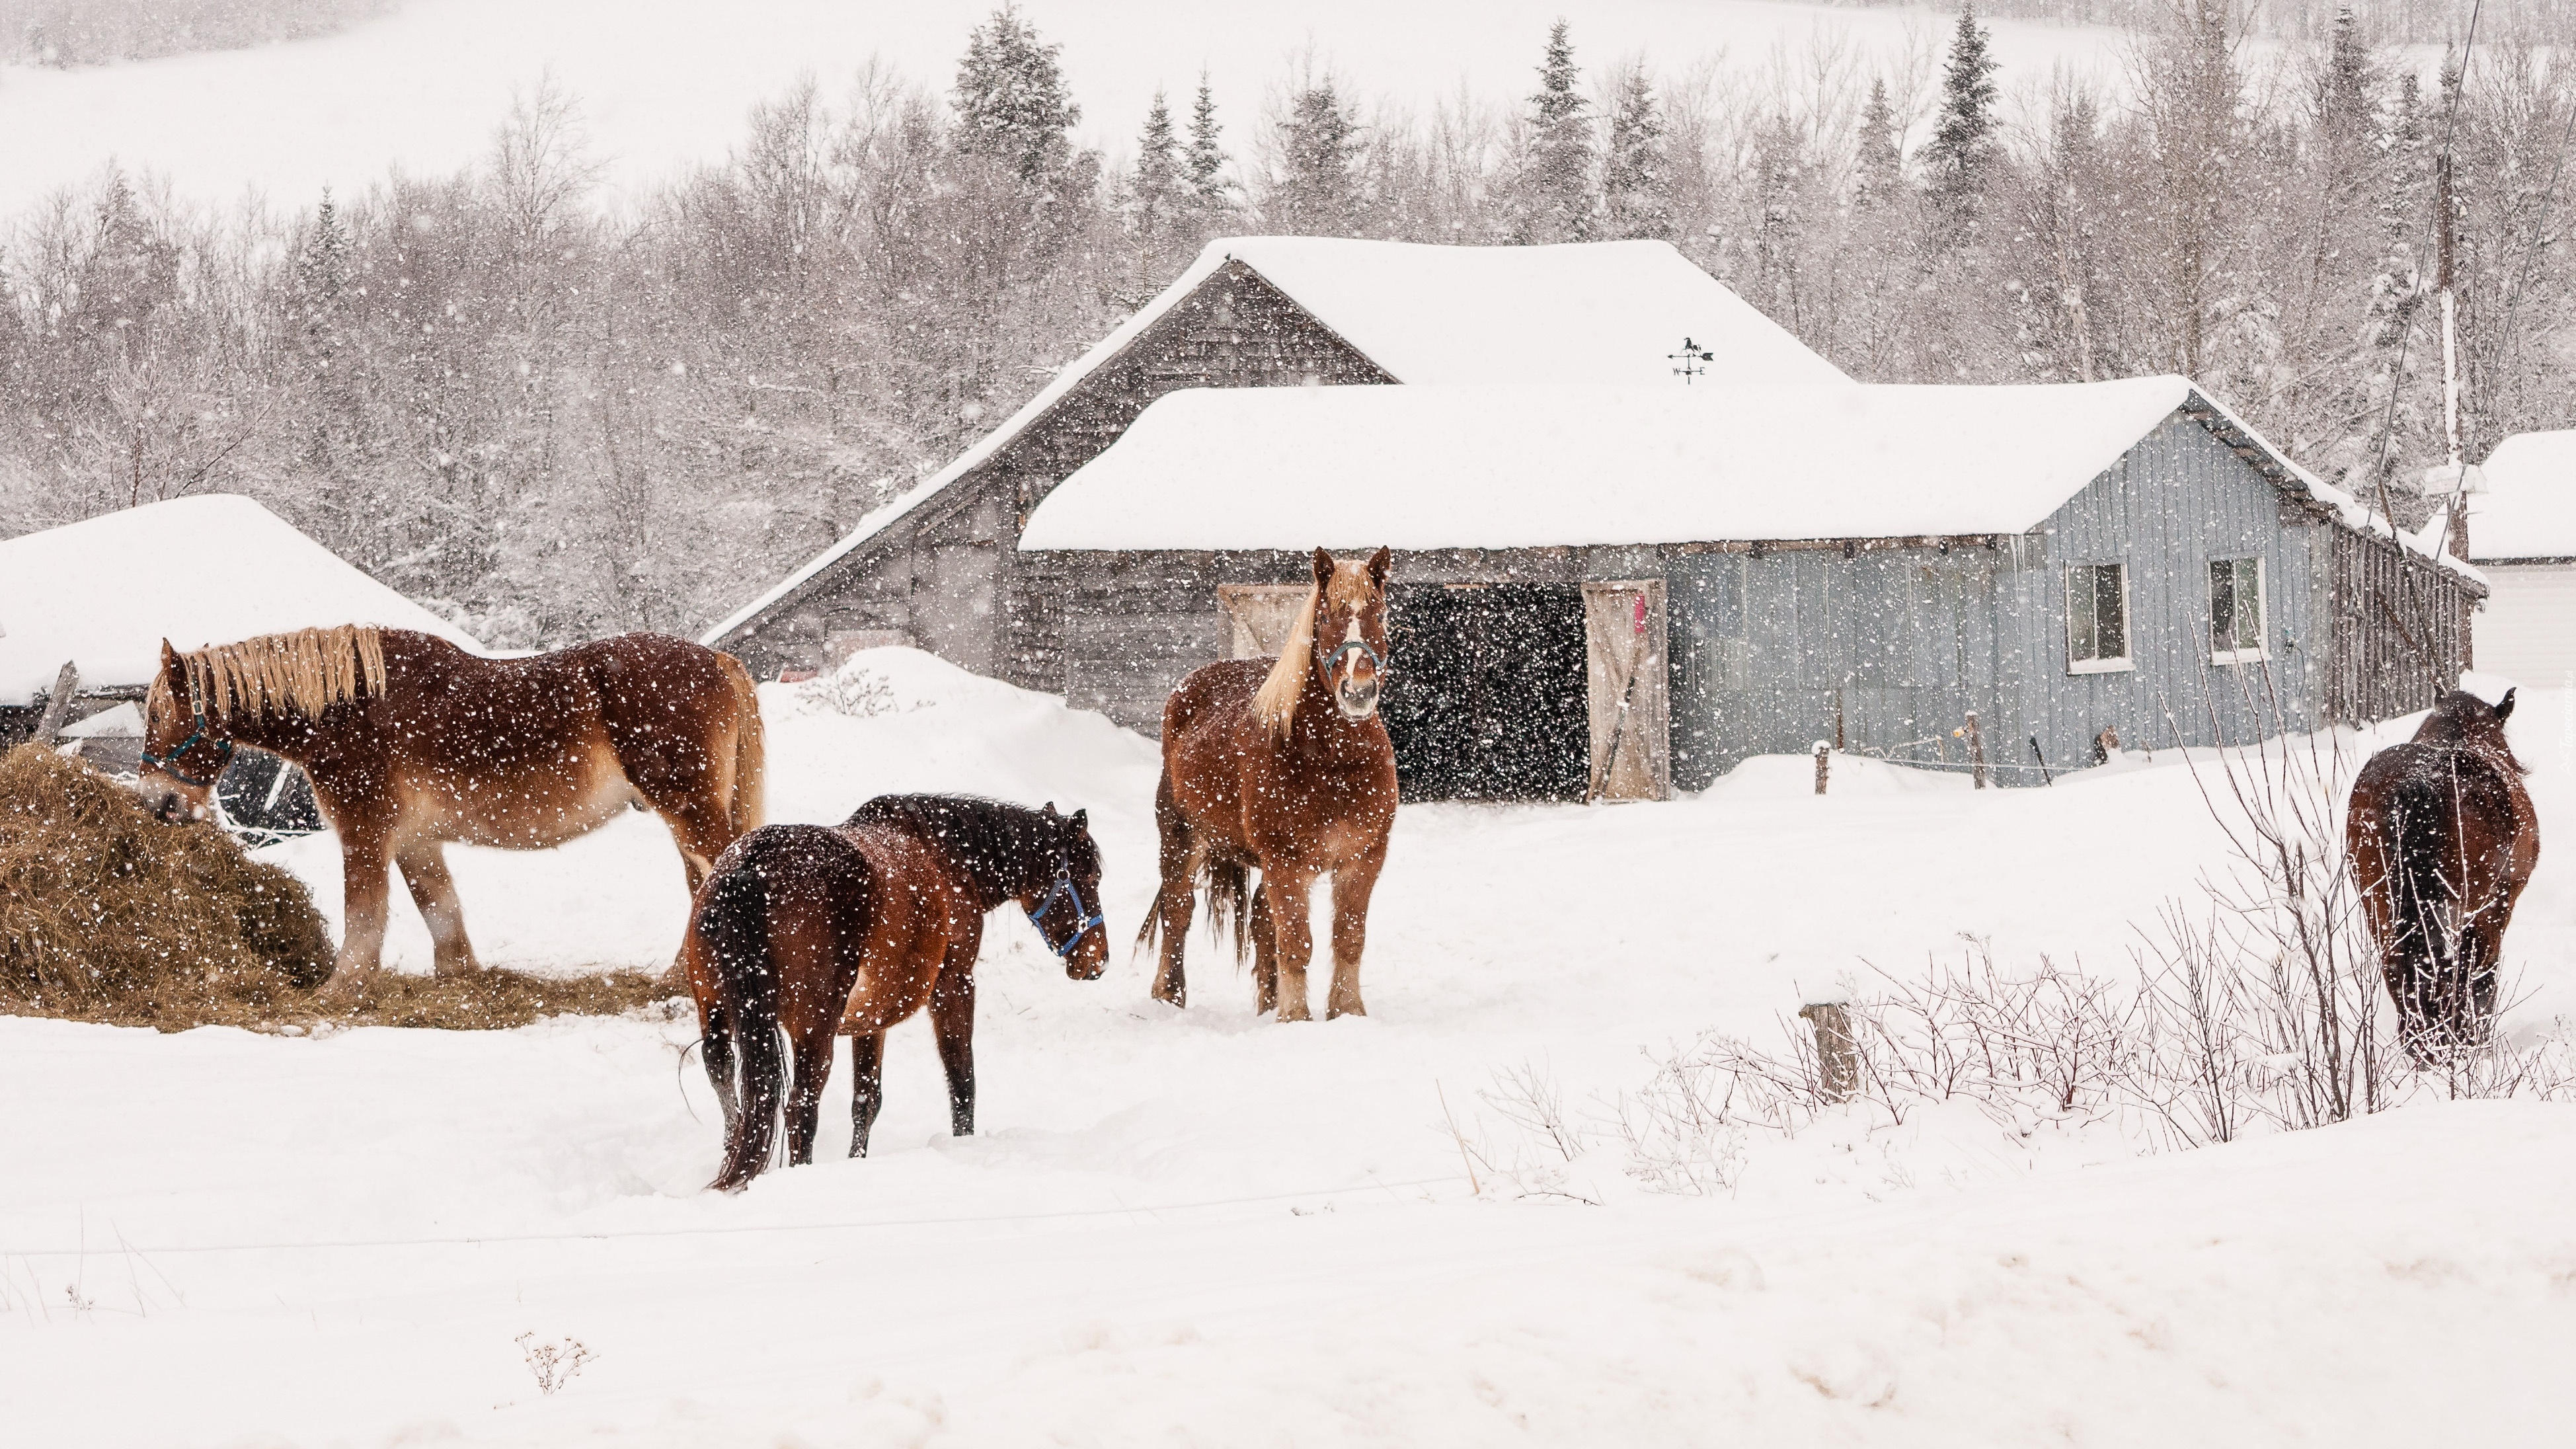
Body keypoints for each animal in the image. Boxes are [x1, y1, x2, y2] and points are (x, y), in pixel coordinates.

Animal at [142, 621, 762, 990]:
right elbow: (440, 910)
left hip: (690, 810)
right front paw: (460, 978)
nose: (158, 805)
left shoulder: (365, 832)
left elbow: (364, 914)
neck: (347, 708)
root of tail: (717, 660)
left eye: (155, 714)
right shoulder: (416, 839)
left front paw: (341, 989)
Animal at [695, 789, 1107, 1186]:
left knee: (723, 1075)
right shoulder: (955, 986)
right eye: (1089, 878)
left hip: (715, 1010)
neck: (947, 860)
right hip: (814, 1028)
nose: (1098, 960)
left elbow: (866, 1101)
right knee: (801, 1108)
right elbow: (962, 1080)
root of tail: (750, 868)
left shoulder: (869, 1020)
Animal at [1144, 541, 1401, 1015]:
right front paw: (1296, 1017)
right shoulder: (1286, 862)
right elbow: (1297, 942)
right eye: (1326, 617)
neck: (1333, 762)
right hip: (1181, 836)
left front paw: (1346, 1012)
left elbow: (1348, 938)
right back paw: (1169, 996)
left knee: (1262, 920)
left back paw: (1266, 1004)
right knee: (1178, 910)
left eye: (1377, 612)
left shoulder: (1363, 858)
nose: (1357, 692)